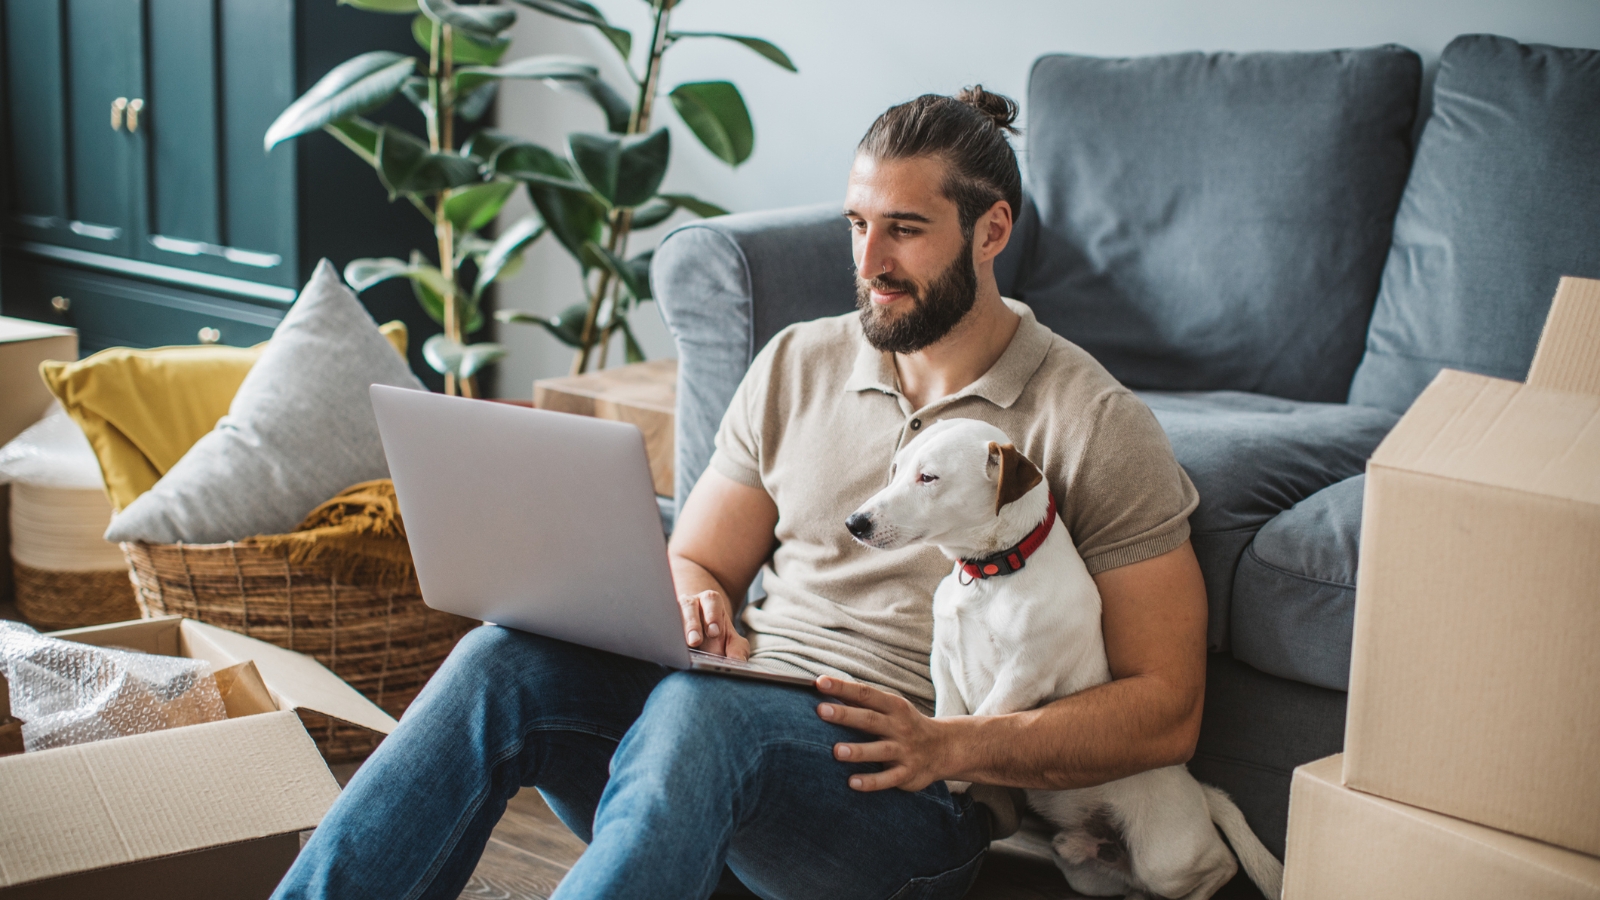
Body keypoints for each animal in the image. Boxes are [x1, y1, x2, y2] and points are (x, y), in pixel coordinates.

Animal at [851, 419, 1286, 896]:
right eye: (895, 469)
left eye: (928, 478)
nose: (854, 523)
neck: (994, 572)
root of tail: (1200, 792)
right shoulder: (944, 659)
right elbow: (951, 715)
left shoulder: (1024, 676)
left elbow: (977, 720)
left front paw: (947, 771)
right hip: (1083, 869)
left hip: (1165, 860)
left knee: (1220, 865)